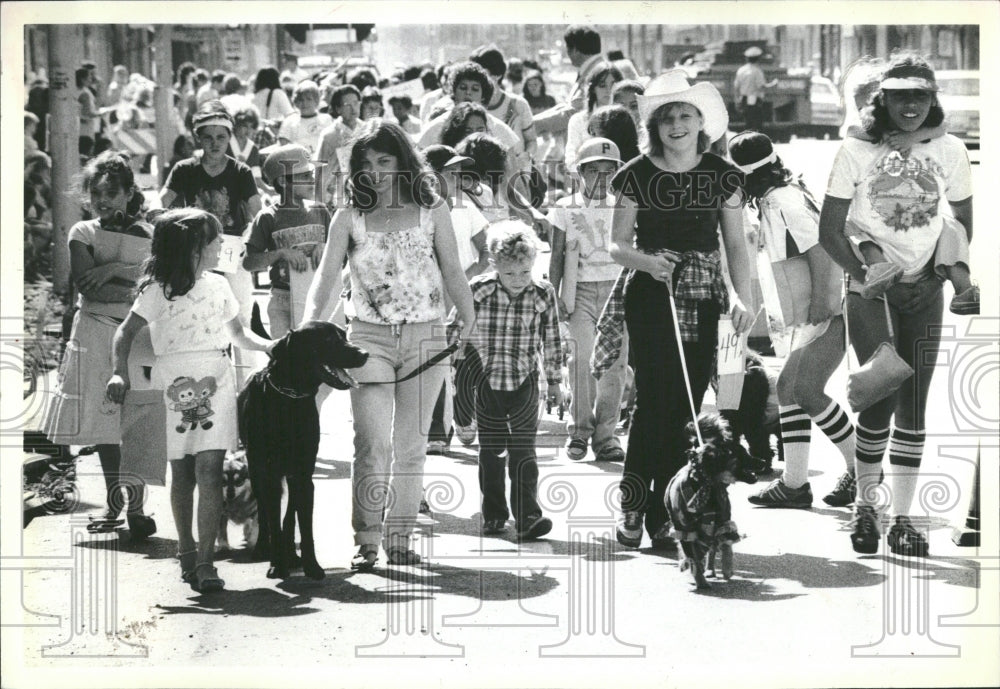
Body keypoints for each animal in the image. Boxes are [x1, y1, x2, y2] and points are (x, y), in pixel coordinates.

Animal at [237, 320, 368, 576]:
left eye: (344, 334)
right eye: (328, 340)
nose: (364, 353)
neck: (290, 397)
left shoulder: (304, 475)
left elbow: (303, 526)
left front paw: (311, 565)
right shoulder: (270, 475)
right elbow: (273, 520)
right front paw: (276, 564)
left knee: (290, 516)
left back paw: (291, 554)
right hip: (256, 471)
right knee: (266, 514)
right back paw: (264, 548)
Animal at [664, 412, 756, 588]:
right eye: (742, 455)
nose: (762, 462)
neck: (703, 483)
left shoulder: (722, 519)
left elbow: (725, 546)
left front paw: (727, 569)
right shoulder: (684, 527)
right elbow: (692, 555)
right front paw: (699, 579)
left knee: (714, 547)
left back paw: (711, 569)